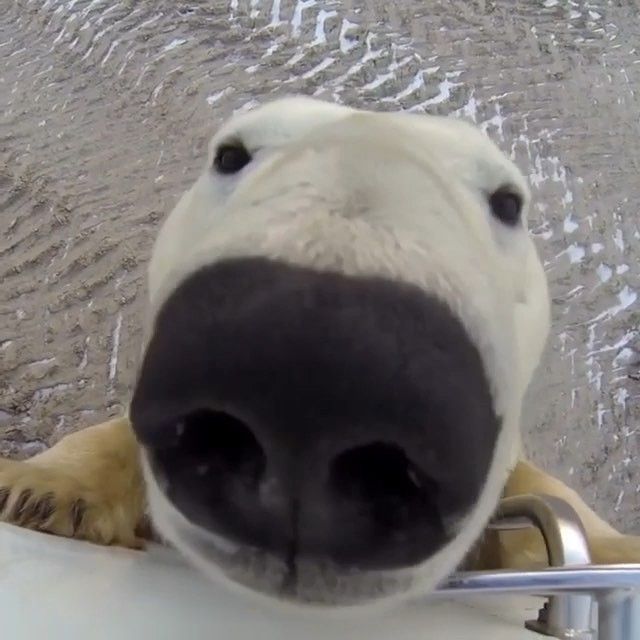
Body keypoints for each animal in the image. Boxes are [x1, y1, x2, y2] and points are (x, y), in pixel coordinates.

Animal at [1, 96, 640, 608]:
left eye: (507, 201)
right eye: (230, 155)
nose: (314, 379)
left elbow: (546, 497)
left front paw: (616, 548)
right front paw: (45, 490)